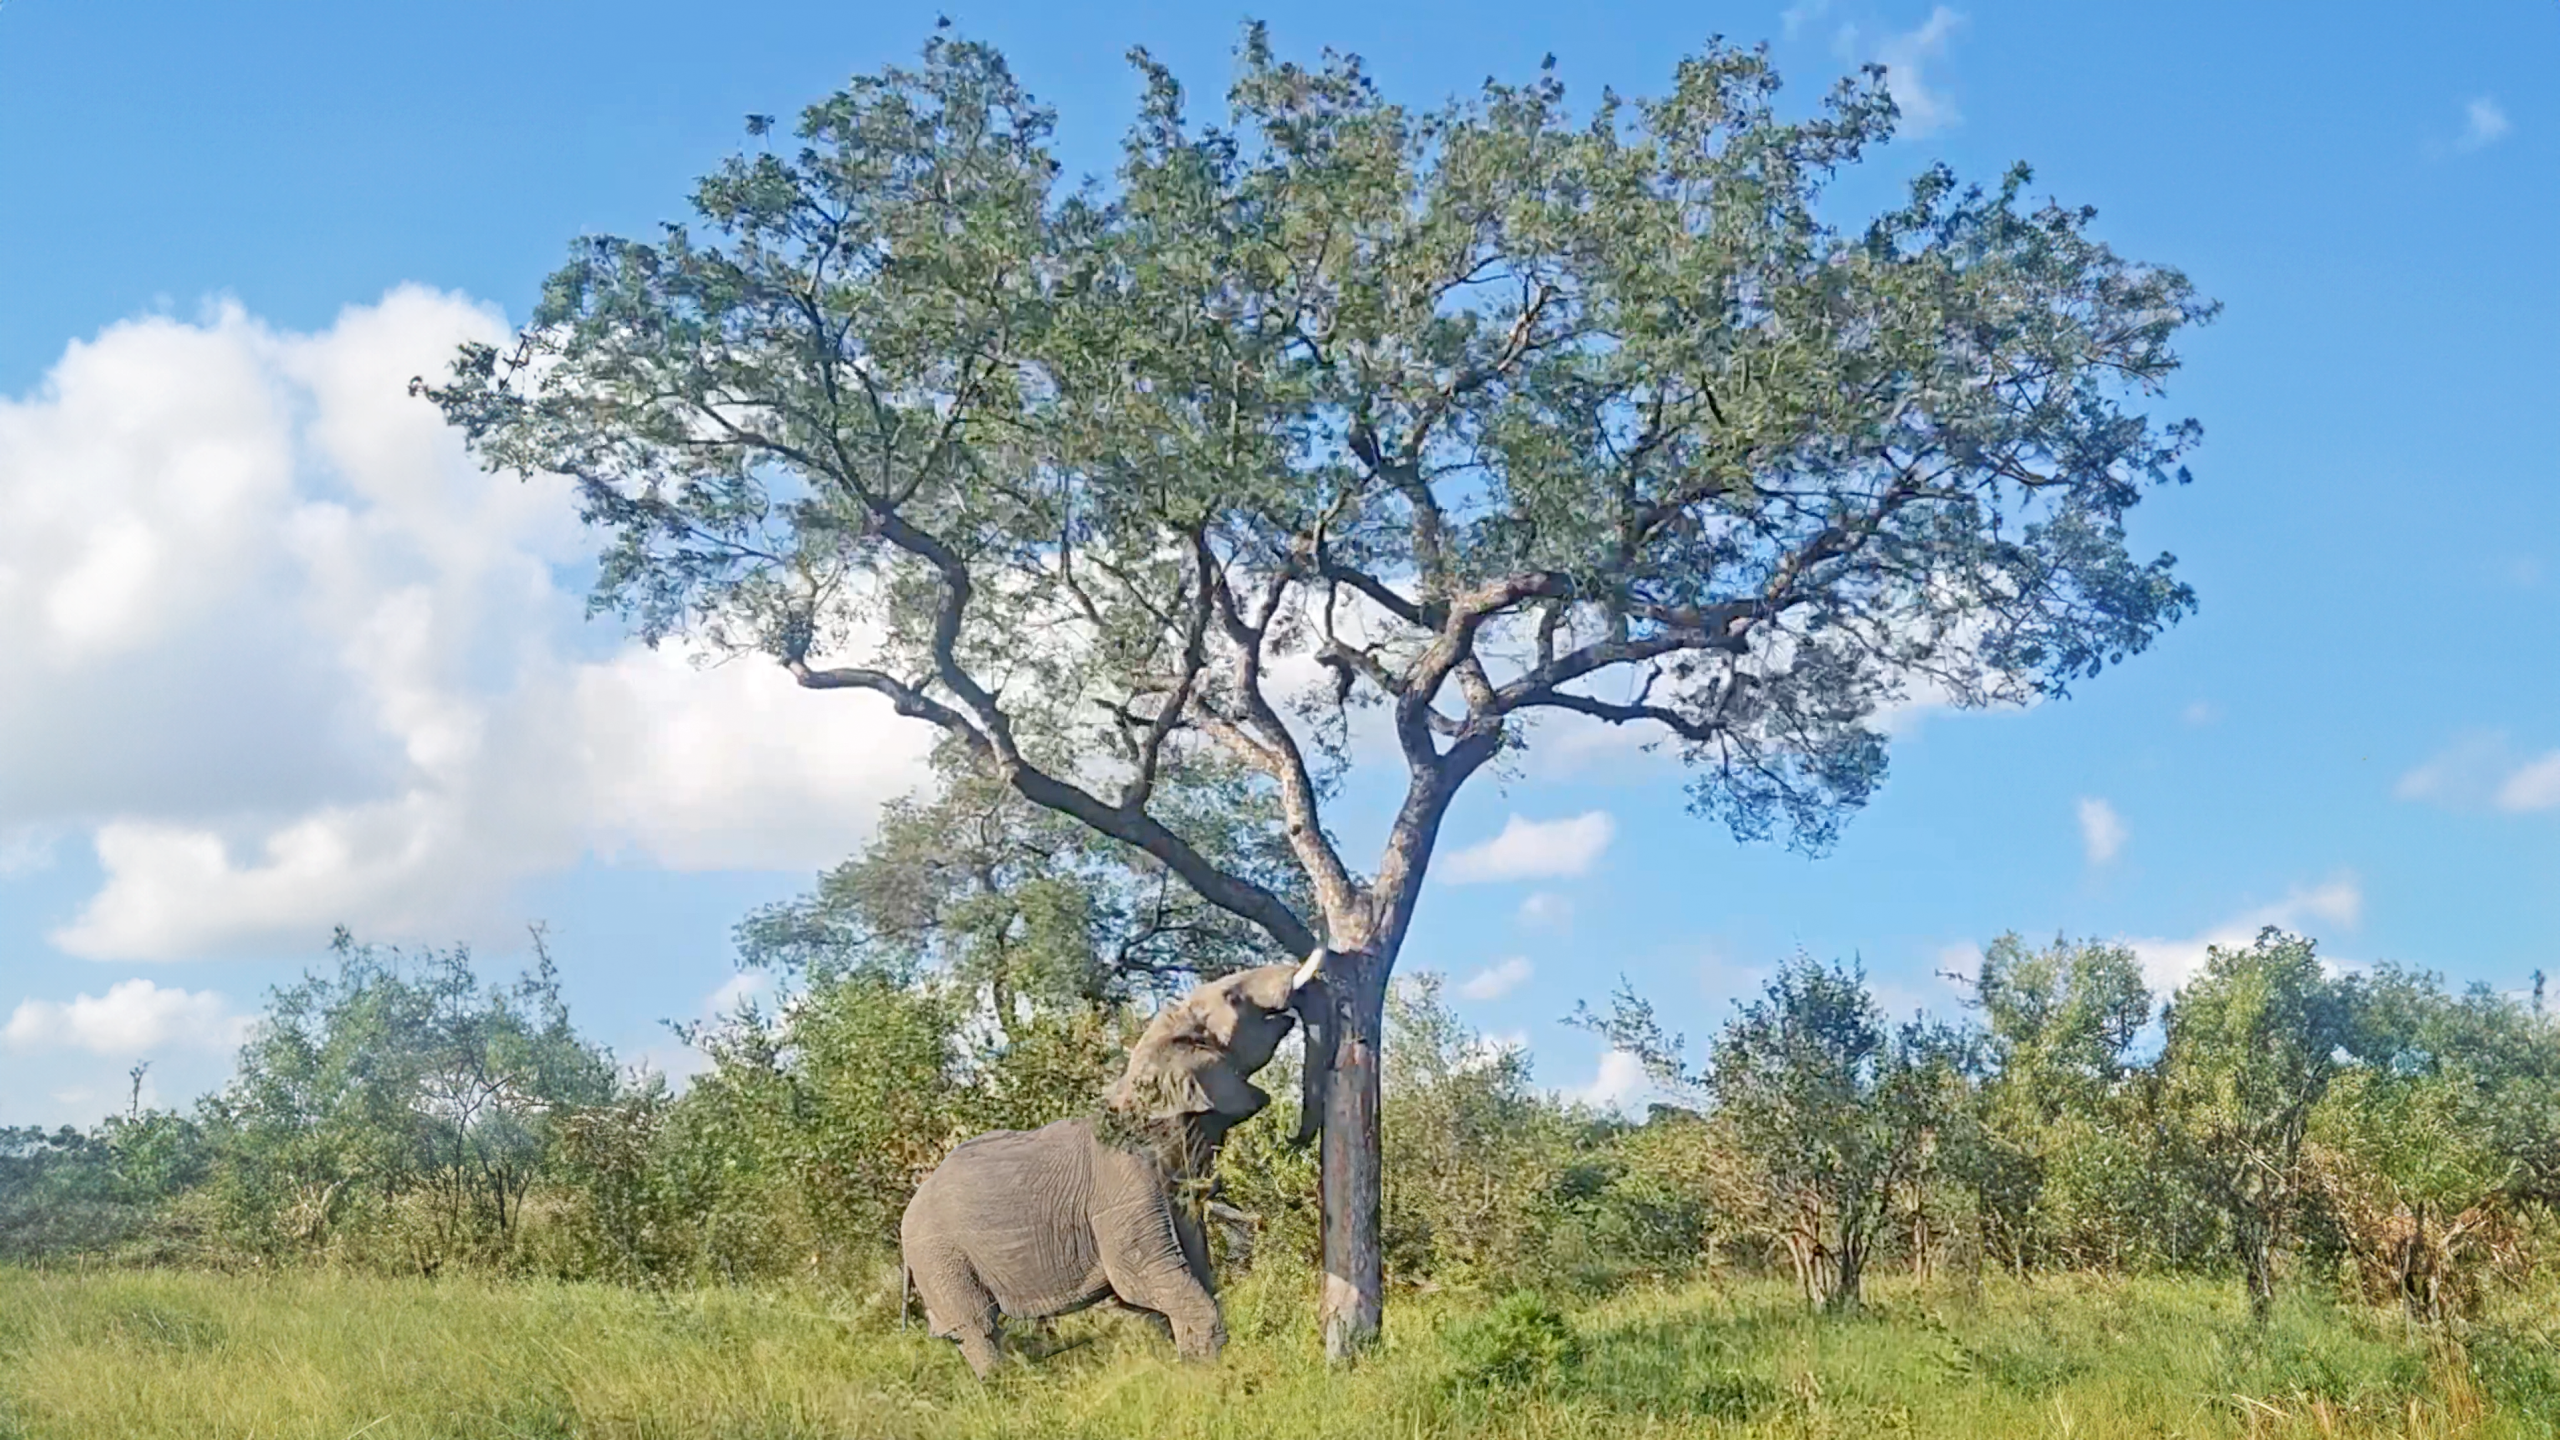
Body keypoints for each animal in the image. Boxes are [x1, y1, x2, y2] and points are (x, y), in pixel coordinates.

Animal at [906, 948, 1341, 1373]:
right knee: (977, 1329)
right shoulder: (1124, 1188)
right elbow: (1139, 1277)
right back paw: (1005, 1385)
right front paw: (1207, 1374)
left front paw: (1193, 1364)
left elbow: (1195, 1265)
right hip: (940, 1258)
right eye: (1232, 998)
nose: (1291, 1140)